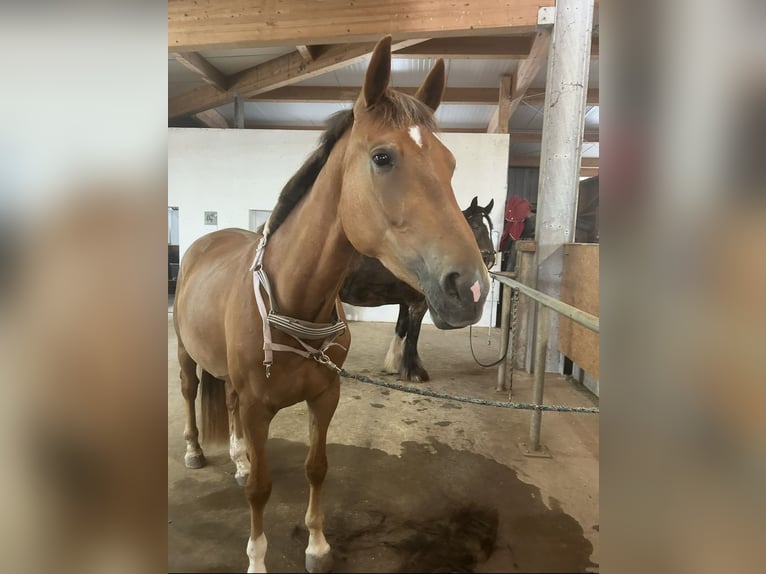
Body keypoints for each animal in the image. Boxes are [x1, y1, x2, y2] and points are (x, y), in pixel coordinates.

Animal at [339, 196, 495, 381]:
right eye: (476, 226)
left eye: (491, 228)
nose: (489, 258)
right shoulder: (419, 303)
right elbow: (414, 333)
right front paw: (414, 372)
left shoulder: (406, 302)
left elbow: (401, 327)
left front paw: (394, 365)